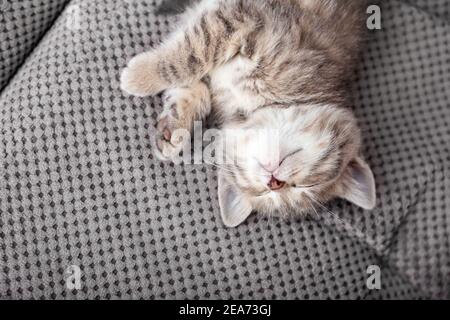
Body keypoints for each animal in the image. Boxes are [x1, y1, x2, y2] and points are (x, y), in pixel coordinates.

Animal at [118, 0, 374, 228]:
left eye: (301, 189)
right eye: (307, 185)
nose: (274, 183)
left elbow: (194, 82)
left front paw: (171, 132)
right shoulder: (251, 19)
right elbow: (193, 56)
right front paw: (141, 76)